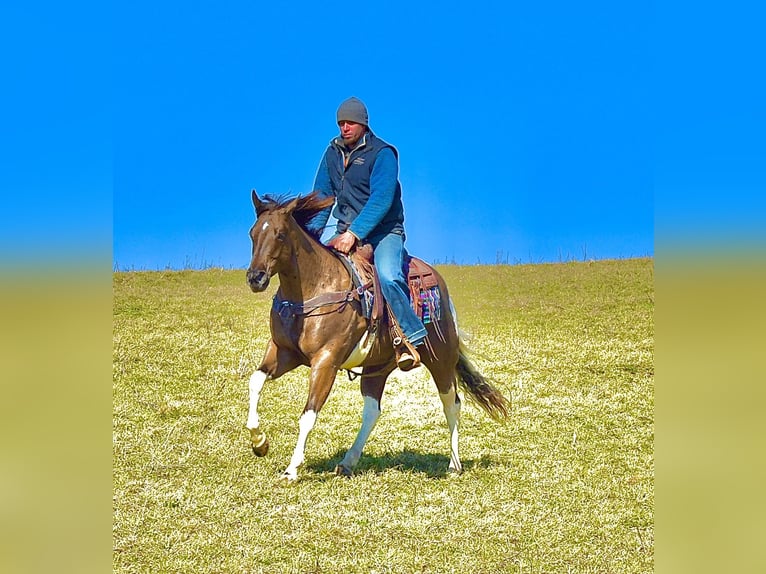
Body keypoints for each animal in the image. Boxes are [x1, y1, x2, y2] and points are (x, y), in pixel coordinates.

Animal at [245, 190, 510, 481]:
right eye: (253, 233)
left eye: (280, 234)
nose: (255, 277)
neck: (313, 291)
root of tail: (440, 285)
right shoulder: (284, 352)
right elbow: (255, 381)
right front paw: (259, 443)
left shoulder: (326, 361)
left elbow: (308, 414)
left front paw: (292, 469)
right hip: (377, 365)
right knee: (372, 411)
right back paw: (348, 461)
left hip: (441, 359)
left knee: (452, 404)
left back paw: (454, 464)